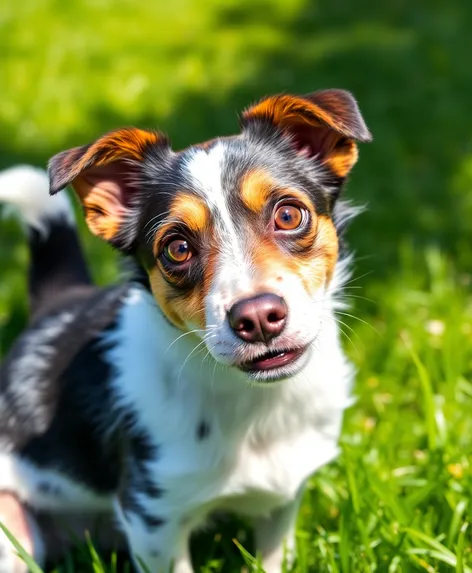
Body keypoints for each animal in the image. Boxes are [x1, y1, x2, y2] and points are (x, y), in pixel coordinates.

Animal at [0, 90, 372, 572]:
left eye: (290, 215)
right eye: (177, 248)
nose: (257, 317)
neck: (253, 405)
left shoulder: (283, 501)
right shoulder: (151, 516)